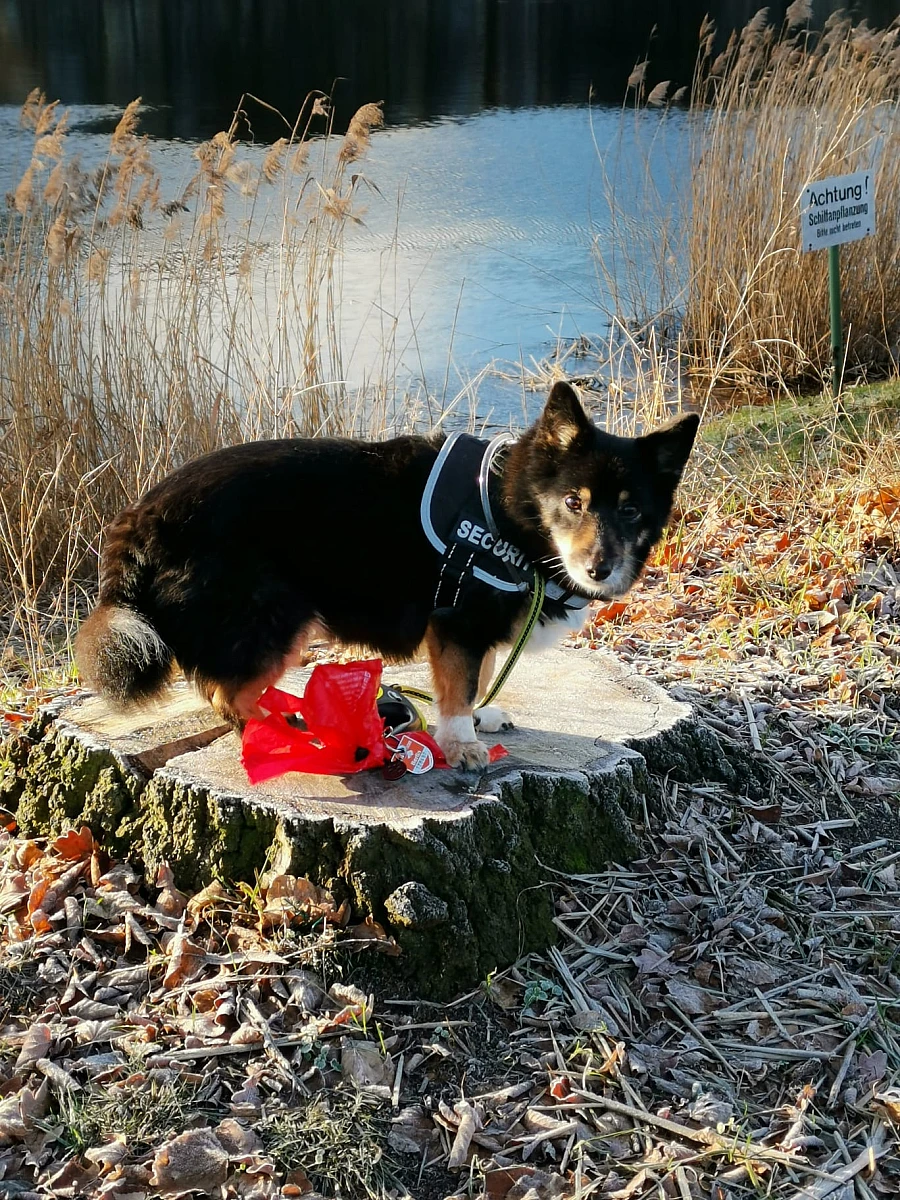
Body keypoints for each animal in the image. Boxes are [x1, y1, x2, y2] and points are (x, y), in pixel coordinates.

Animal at [75, 379, 696, 763]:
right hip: (278, 617)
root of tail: (138, 519)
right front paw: (460, 743)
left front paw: (479, 717)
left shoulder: (470, 626)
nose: (600, 568)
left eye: (630, 510)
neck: (512, 510)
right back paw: (284, 731)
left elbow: (479, 676)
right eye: (573, 502)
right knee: (227, 695)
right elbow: (458, 688)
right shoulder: (457, 621)